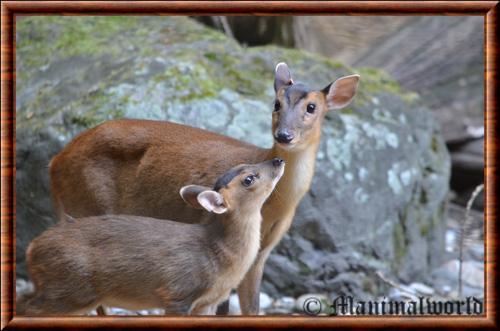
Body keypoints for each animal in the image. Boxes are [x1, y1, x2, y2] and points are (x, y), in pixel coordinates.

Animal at [17, 160, 286, 316]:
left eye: (245, 164)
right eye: (249, 178)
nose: (278, 159)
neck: (219, 256)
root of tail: (32, 248)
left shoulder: (207, 302)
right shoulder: (178, 292)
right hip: (71, 287)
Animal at [49, 63, 360, 316]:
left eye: (312, 107)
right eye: (276, 104)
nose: (283, 135)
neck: (277, 205)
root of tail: (55, 163)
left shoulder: (263, 252)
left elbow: (251, 307)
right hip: (90, 204)